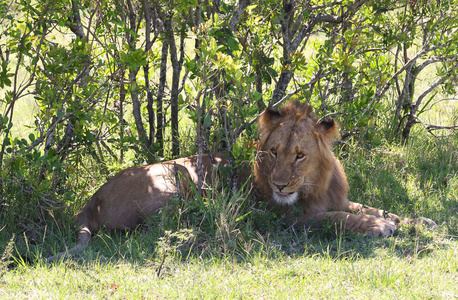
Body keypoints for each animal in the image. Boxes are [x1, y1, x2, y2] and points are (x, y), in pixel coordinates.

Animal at [47, 100, 436, 260]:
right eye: (274, 152)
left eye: (299, 155)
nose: (279, 186)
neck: (315, 185)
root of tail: (90, 200)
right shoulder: (287, 217)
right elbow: (339, 219)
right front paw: (377, 227)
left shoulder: (336, 198)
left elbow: (376, 207)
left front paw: (419, 220)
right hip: (172, 177)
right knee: (158, 229)